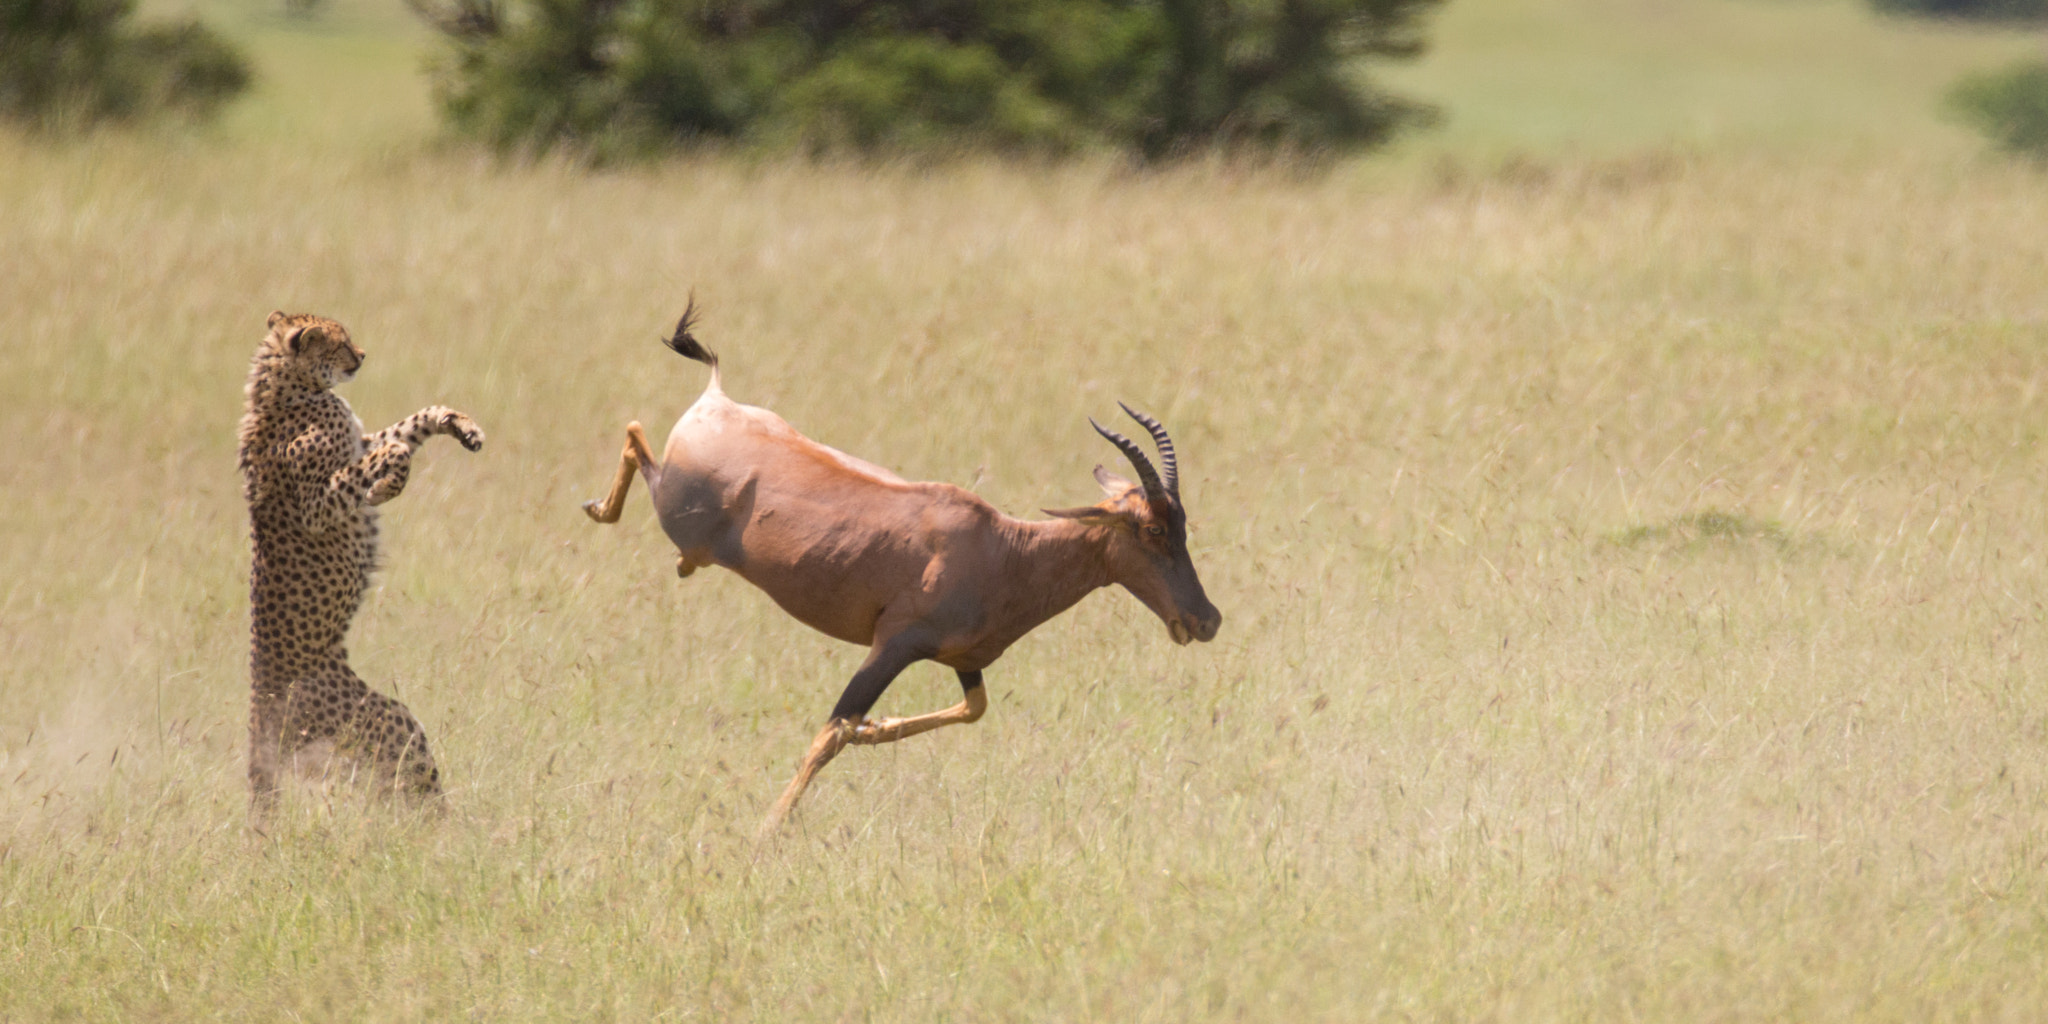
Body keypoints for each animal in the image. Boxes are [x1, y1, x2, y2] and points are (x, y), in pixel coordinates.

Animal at [237, 311, 485, 815]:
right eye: (340, 343)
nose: (364, 355)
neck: (292, 386)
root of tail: (258, 722)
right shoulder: (316, 505)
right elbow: (393, 452)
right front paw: (385, 487)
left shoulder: (360, 440)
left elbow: (409, 425)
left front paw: (457, 423)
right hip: (389, 722)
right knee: (416, 783)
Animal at [581, 301, 1212, 831]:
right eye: (1153, 529)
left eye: (1183, 524)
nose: (1207, 620)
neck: (1001, 545)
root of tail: (716, 400)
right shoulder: (893, 646)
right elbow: (831, 733)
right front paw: (767, 829)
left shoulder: (964, 660)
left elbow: (970, 710)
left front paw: (876, 729)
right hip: (677, 515)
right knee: (636, 438)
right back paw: (599, 508)